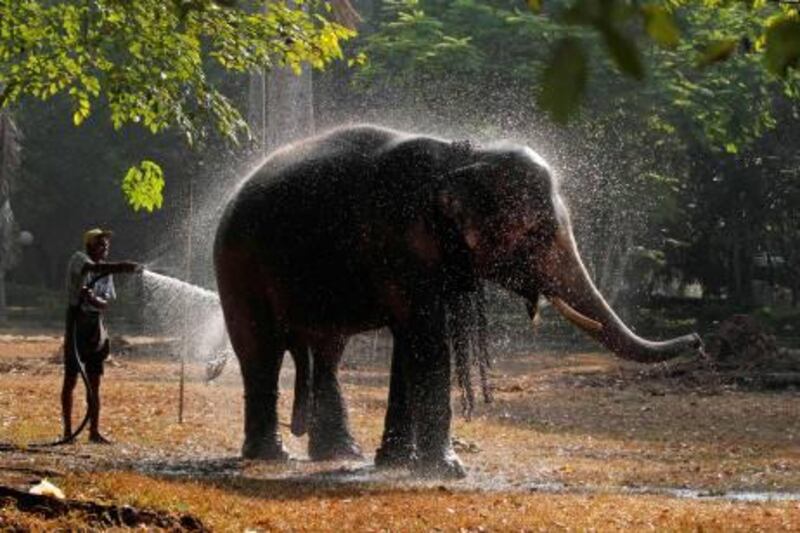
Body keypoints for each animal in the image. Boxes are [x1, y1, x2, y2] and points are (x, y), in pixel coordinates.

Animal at [216, 123, 704, 478]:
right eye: (536, 234)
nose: (699, 341)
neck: (463, 155)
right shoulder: (402, 241)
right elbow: (428, 340)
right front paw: (449, 470)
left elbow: (412, 342)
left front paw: (398, 463)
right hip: (237, 267)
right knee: (261, 351)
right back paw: (271, 456)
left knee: (329, 351)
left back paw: (341, 453)